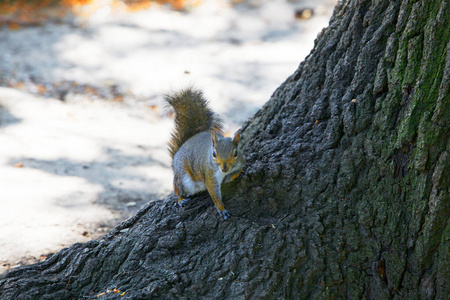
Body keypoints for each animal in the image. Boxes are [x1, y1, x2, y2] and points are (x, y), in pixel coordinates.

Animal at [164, 86, 244, 220]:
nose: (225, 168)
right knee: (178, 189)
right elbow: (214, 193)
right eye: (214, 154)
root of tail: (176, 155)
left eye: (236, 153)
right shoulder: (209, 175)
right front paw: (221, 209)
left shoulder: (240, 163)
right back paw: (181, 199)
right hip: (183, 179)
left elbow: (239, 170)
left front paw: (230, 177)